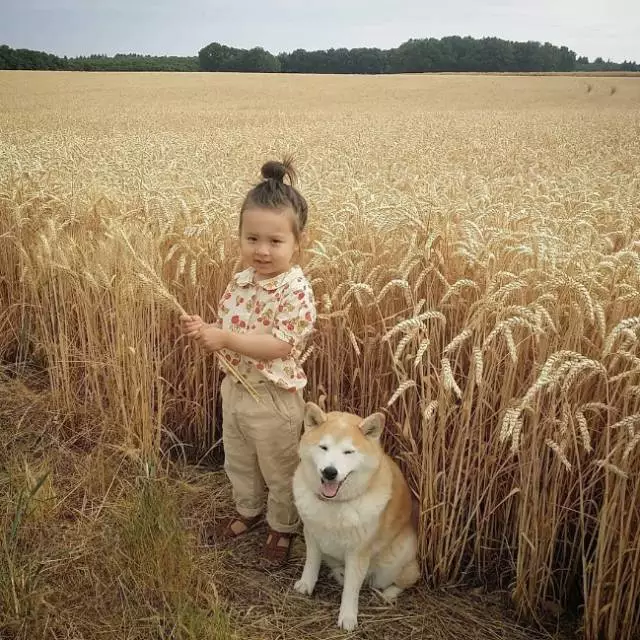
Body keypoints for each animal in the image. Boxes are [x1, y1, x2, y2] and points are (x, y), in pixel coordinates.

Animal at [290, 402, 420, 632]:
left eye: (348, 451)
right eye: (323, 447)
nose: (330, 472)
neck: (334, 503)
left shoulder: (358, 552)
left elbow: (351, 589)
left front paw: (348, 617)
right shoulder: (312, 535)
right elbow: (311, 563)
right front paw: (306, 584)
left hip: (397, 560)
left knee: (404, 579)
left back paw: (388, 595)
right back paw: (339, 573)